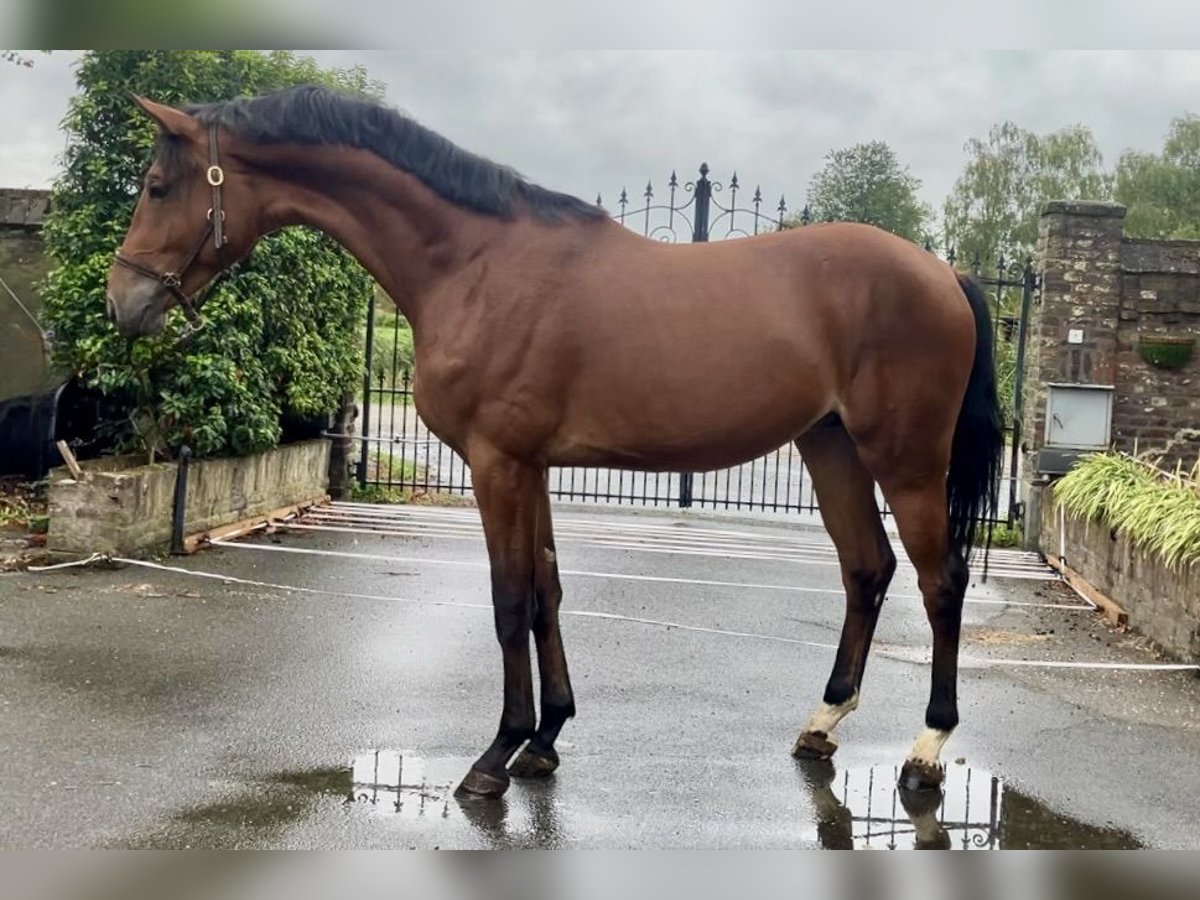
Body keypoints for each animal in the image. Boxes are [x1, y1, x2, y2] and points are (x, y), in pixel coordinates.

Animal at [105, 86, 1003, 801]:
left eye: (156, 185)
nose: (122, 302)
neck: (474, 261)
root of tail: (944, 273)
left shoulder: (497, 465)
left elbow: (509, 600)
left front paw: (494, 755)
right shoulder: (530, 466)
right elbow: (546, 593)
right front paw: (545, 739)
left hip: (905, 461)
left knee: (941, 581)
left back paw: (927, 748)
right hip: (831, 450)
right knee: (868, 570)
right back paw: (823, 721)